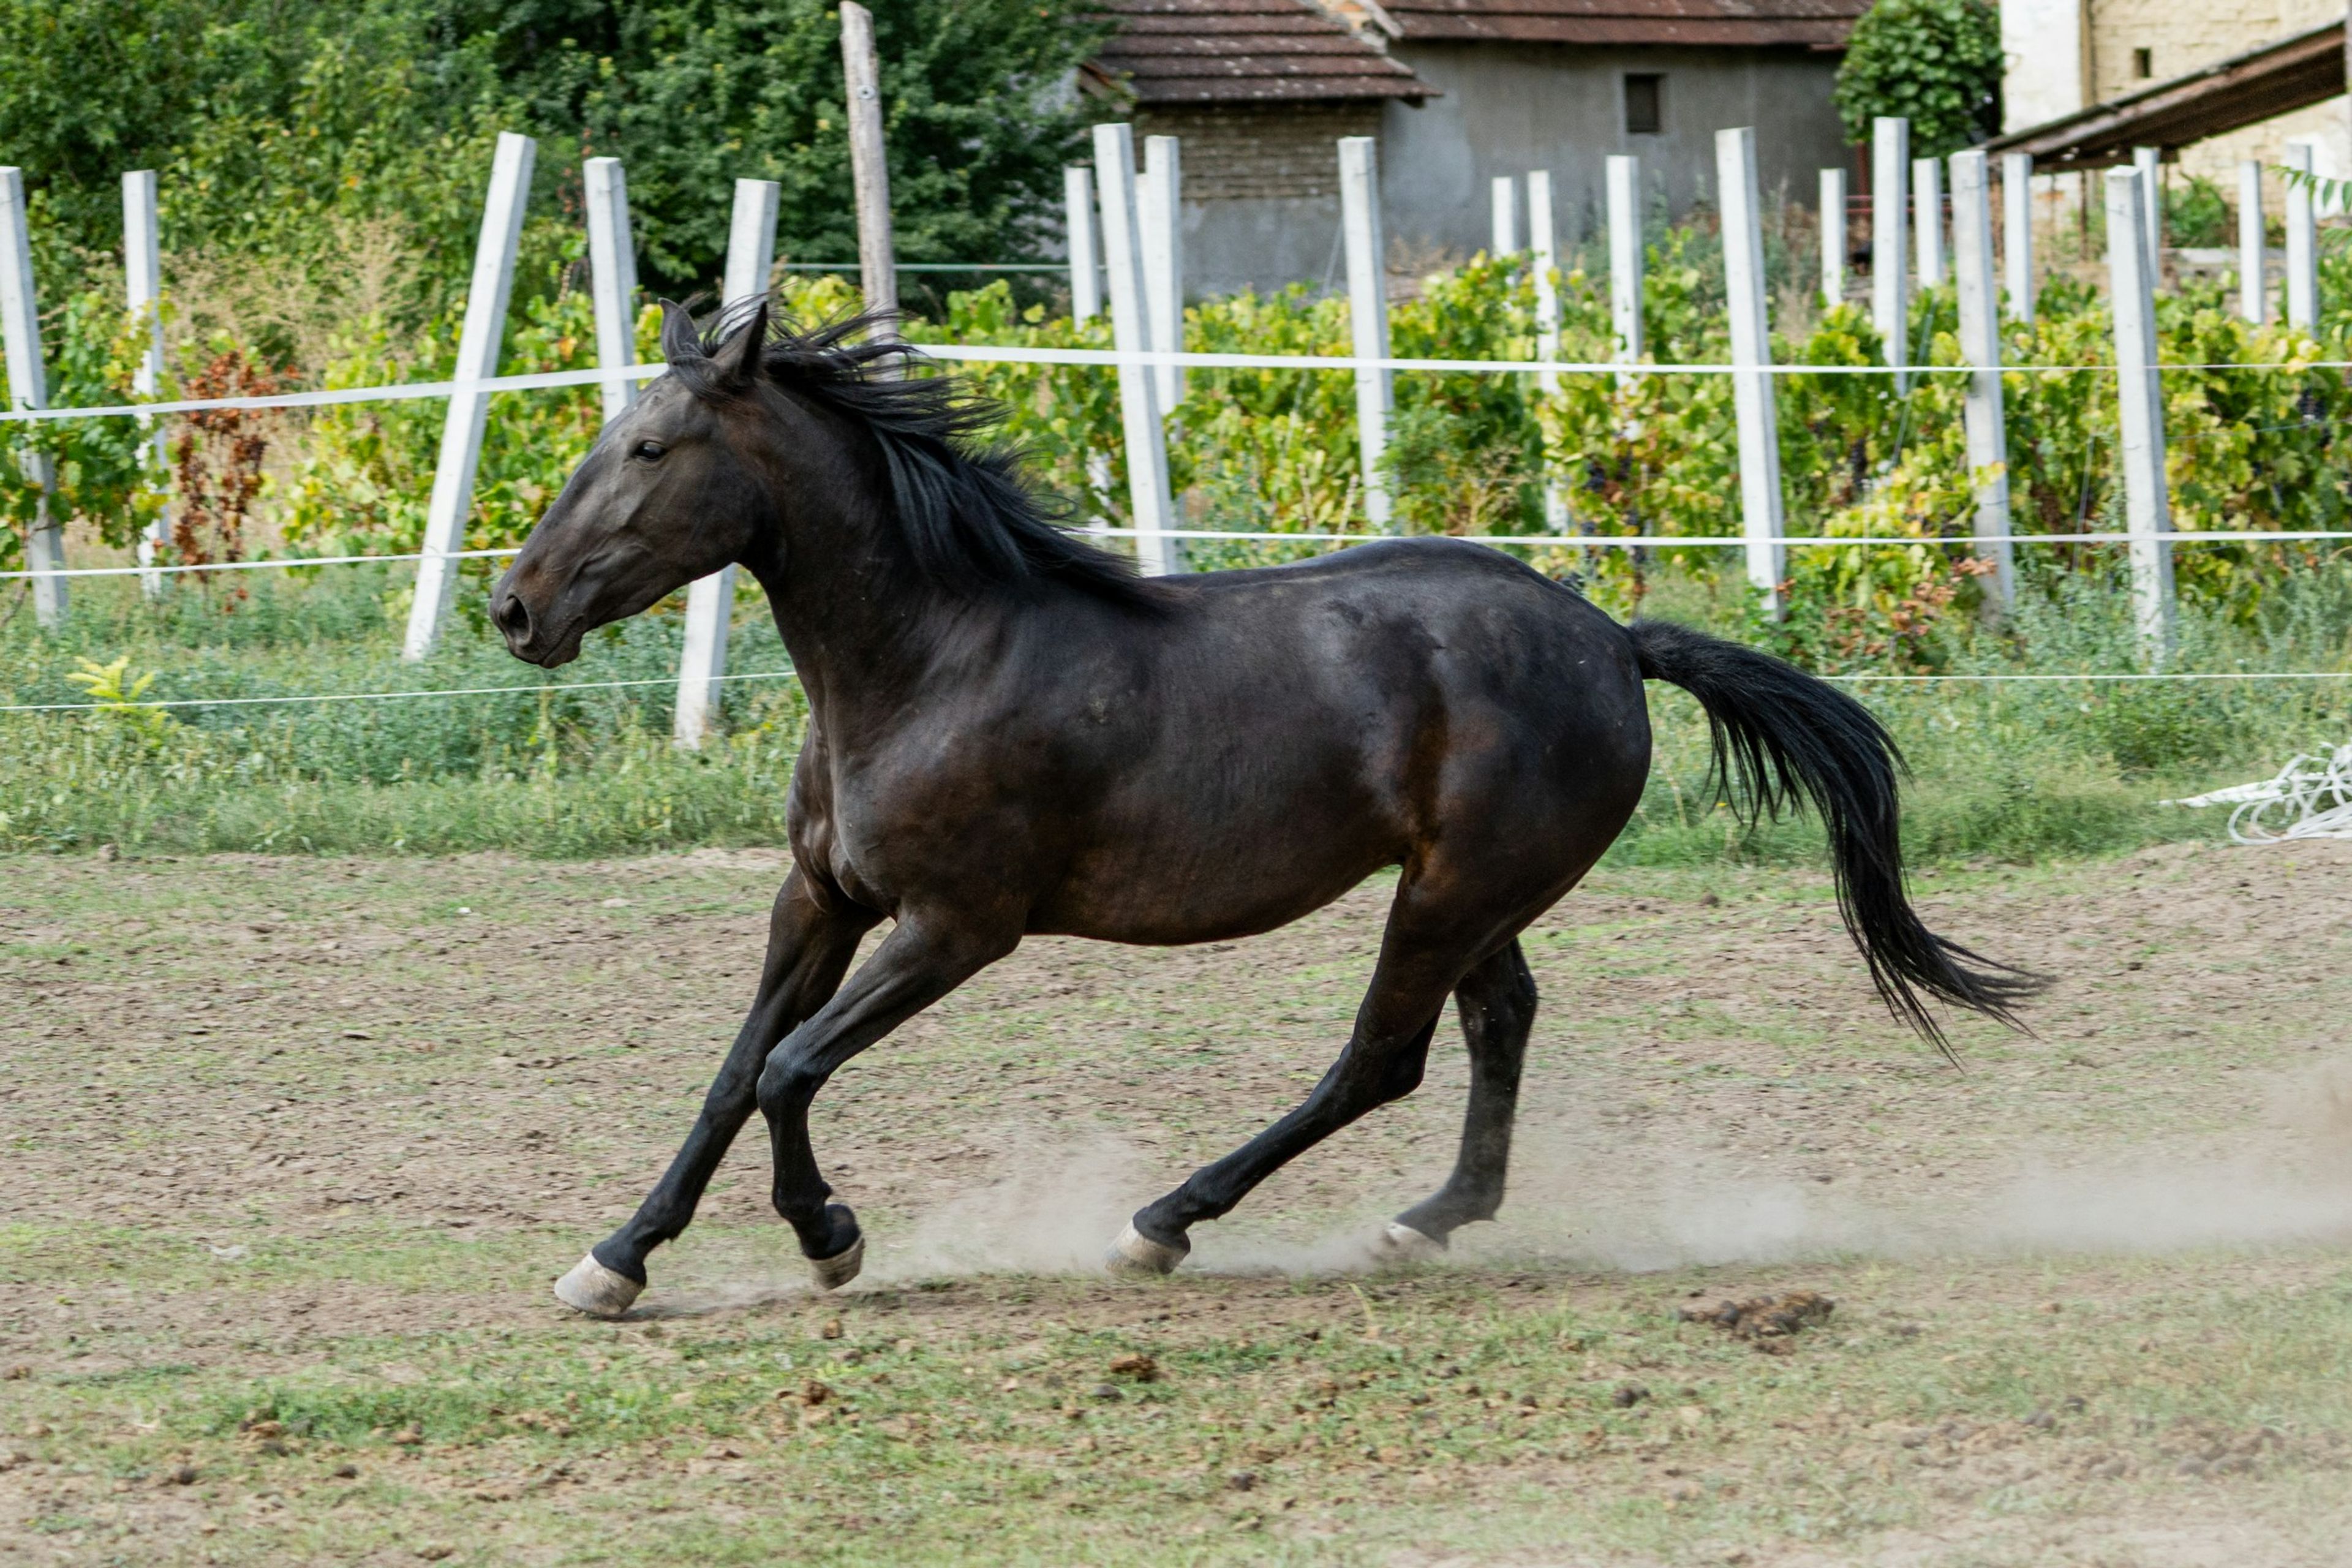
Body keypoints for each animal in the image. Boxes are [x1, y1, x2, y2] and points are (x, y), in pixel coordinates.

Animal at [491, 303, 2036, 1317]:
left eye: (648, 449)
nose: (513, 606)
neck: (929, 658)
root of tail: (1612, 637)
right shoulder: (819, 897)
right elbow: (733, 1069)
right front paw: (612, 1259)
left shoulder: (957, 924)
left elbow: (791, 1070)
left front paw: (830, 1238)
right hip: (1477, 893)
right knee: (1497, 1025)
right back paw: (1425, 1222)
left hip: (1447, 891)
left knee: (1381, 1059)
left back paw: (1165, 1222)